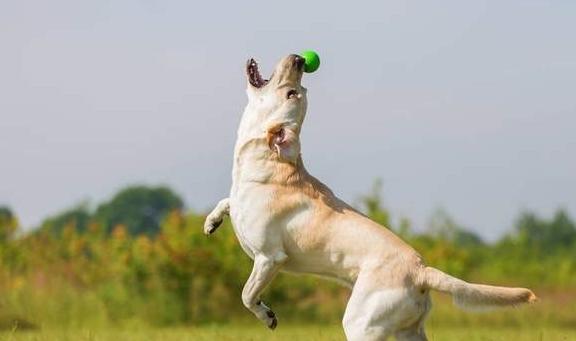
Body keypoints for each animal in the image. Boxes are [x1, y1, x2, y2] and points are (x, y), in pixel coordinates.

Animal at [204, 54, 536, 338]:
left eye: (294, 93)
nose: (299, 59)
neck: (264, 160)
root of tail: (422, 271)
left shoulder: (269, 258)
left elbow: (247, 295)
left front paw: (268, 315)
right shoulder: (240, 204)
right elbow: (227, 201)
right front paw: (211, 222)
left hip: (361, 323)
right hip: (408, 331)